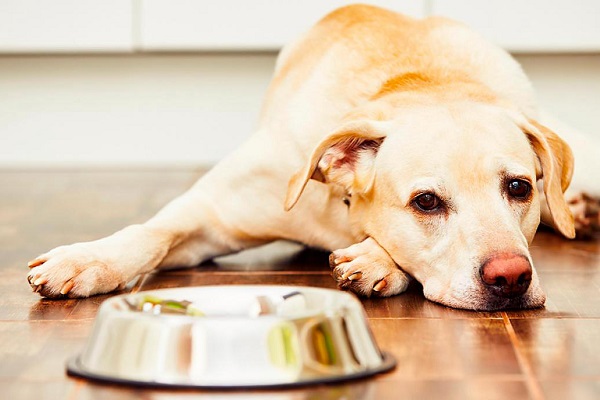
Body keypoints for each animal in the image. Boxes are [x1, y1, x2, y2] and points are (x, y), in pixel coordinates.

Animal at [27, 5, 600, 310]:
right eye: (426, 202)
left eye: (519, 188)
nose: (511, 278)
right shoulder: (211, 215)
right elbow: (151, 232)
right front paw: (88, 260)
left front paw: (373, 259)